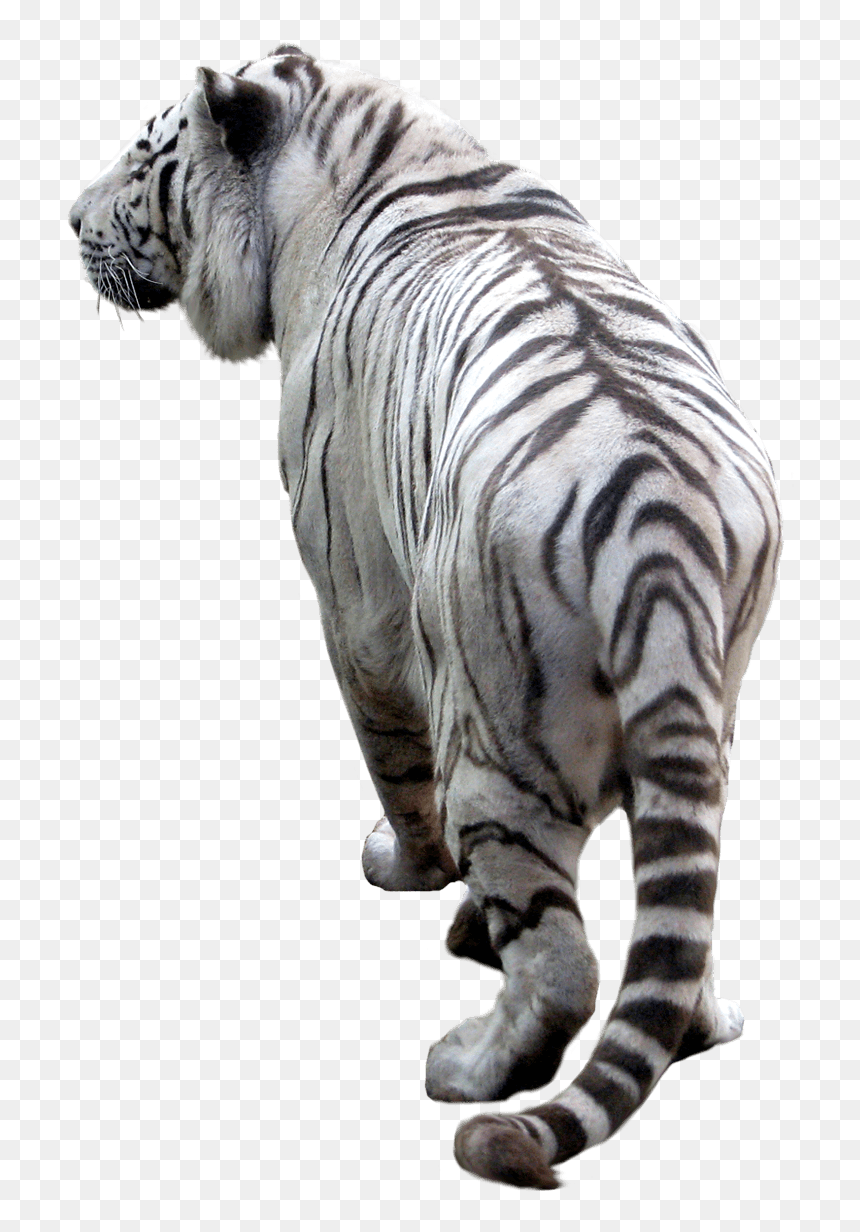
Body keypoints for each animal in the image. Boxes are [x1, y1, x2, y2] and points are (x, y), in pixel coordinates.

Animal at [69, 46, 781, 1189]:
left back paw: (470, 1066)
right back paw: (699, 1020)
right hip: (707, 712)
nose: (64, 219)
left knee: (563, 962)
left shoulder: (355, 600)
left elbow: (394, 770)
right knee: (681, 914)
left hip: (495, 738)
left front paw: (408, 873)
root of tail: (657, 523)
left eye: (141, 161)